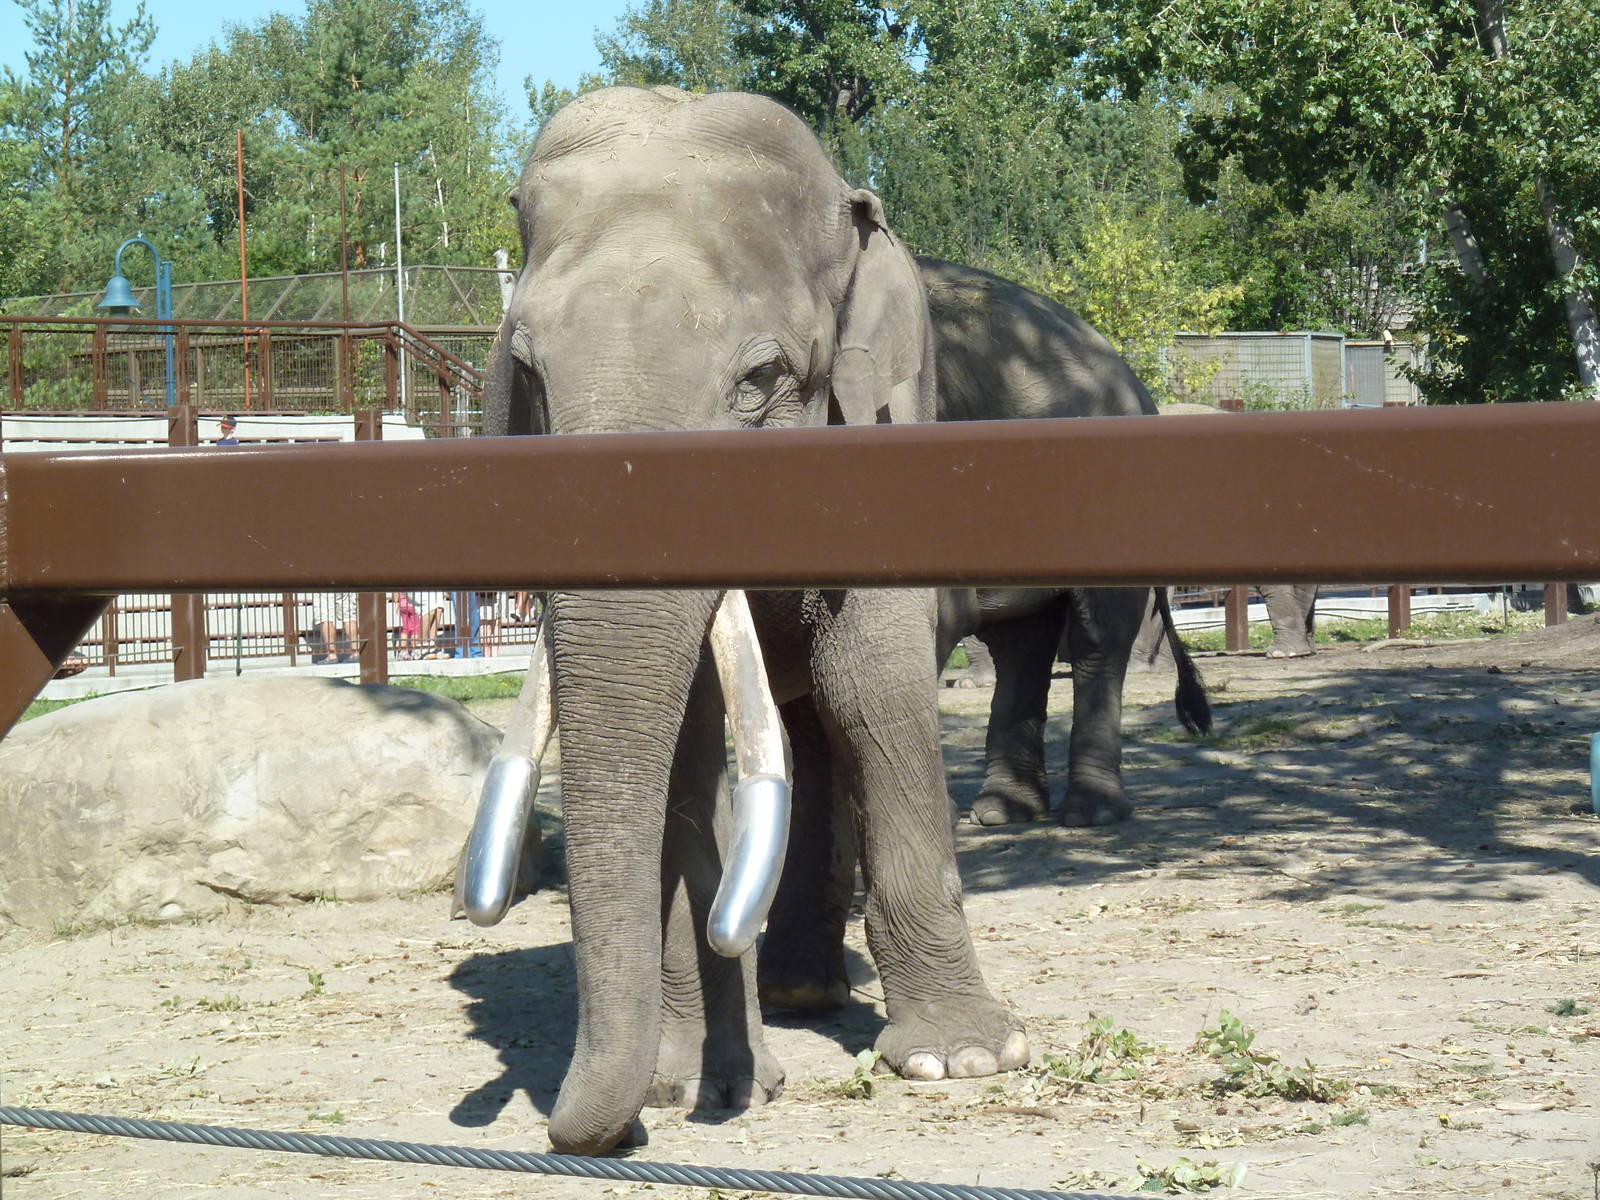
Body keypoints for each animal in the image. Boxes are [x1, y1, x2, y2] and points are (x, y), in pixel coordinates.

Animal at [481, 87, 1026, 1155]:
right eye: (529, 373)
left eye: (761, 379)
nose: (572, 1133)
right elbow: (690, 738)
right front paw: (693, 1081)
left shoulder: (881, 425)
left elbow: (875, 683)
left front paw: (963, 1060)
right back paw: (791, 991)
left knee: (826, 722)